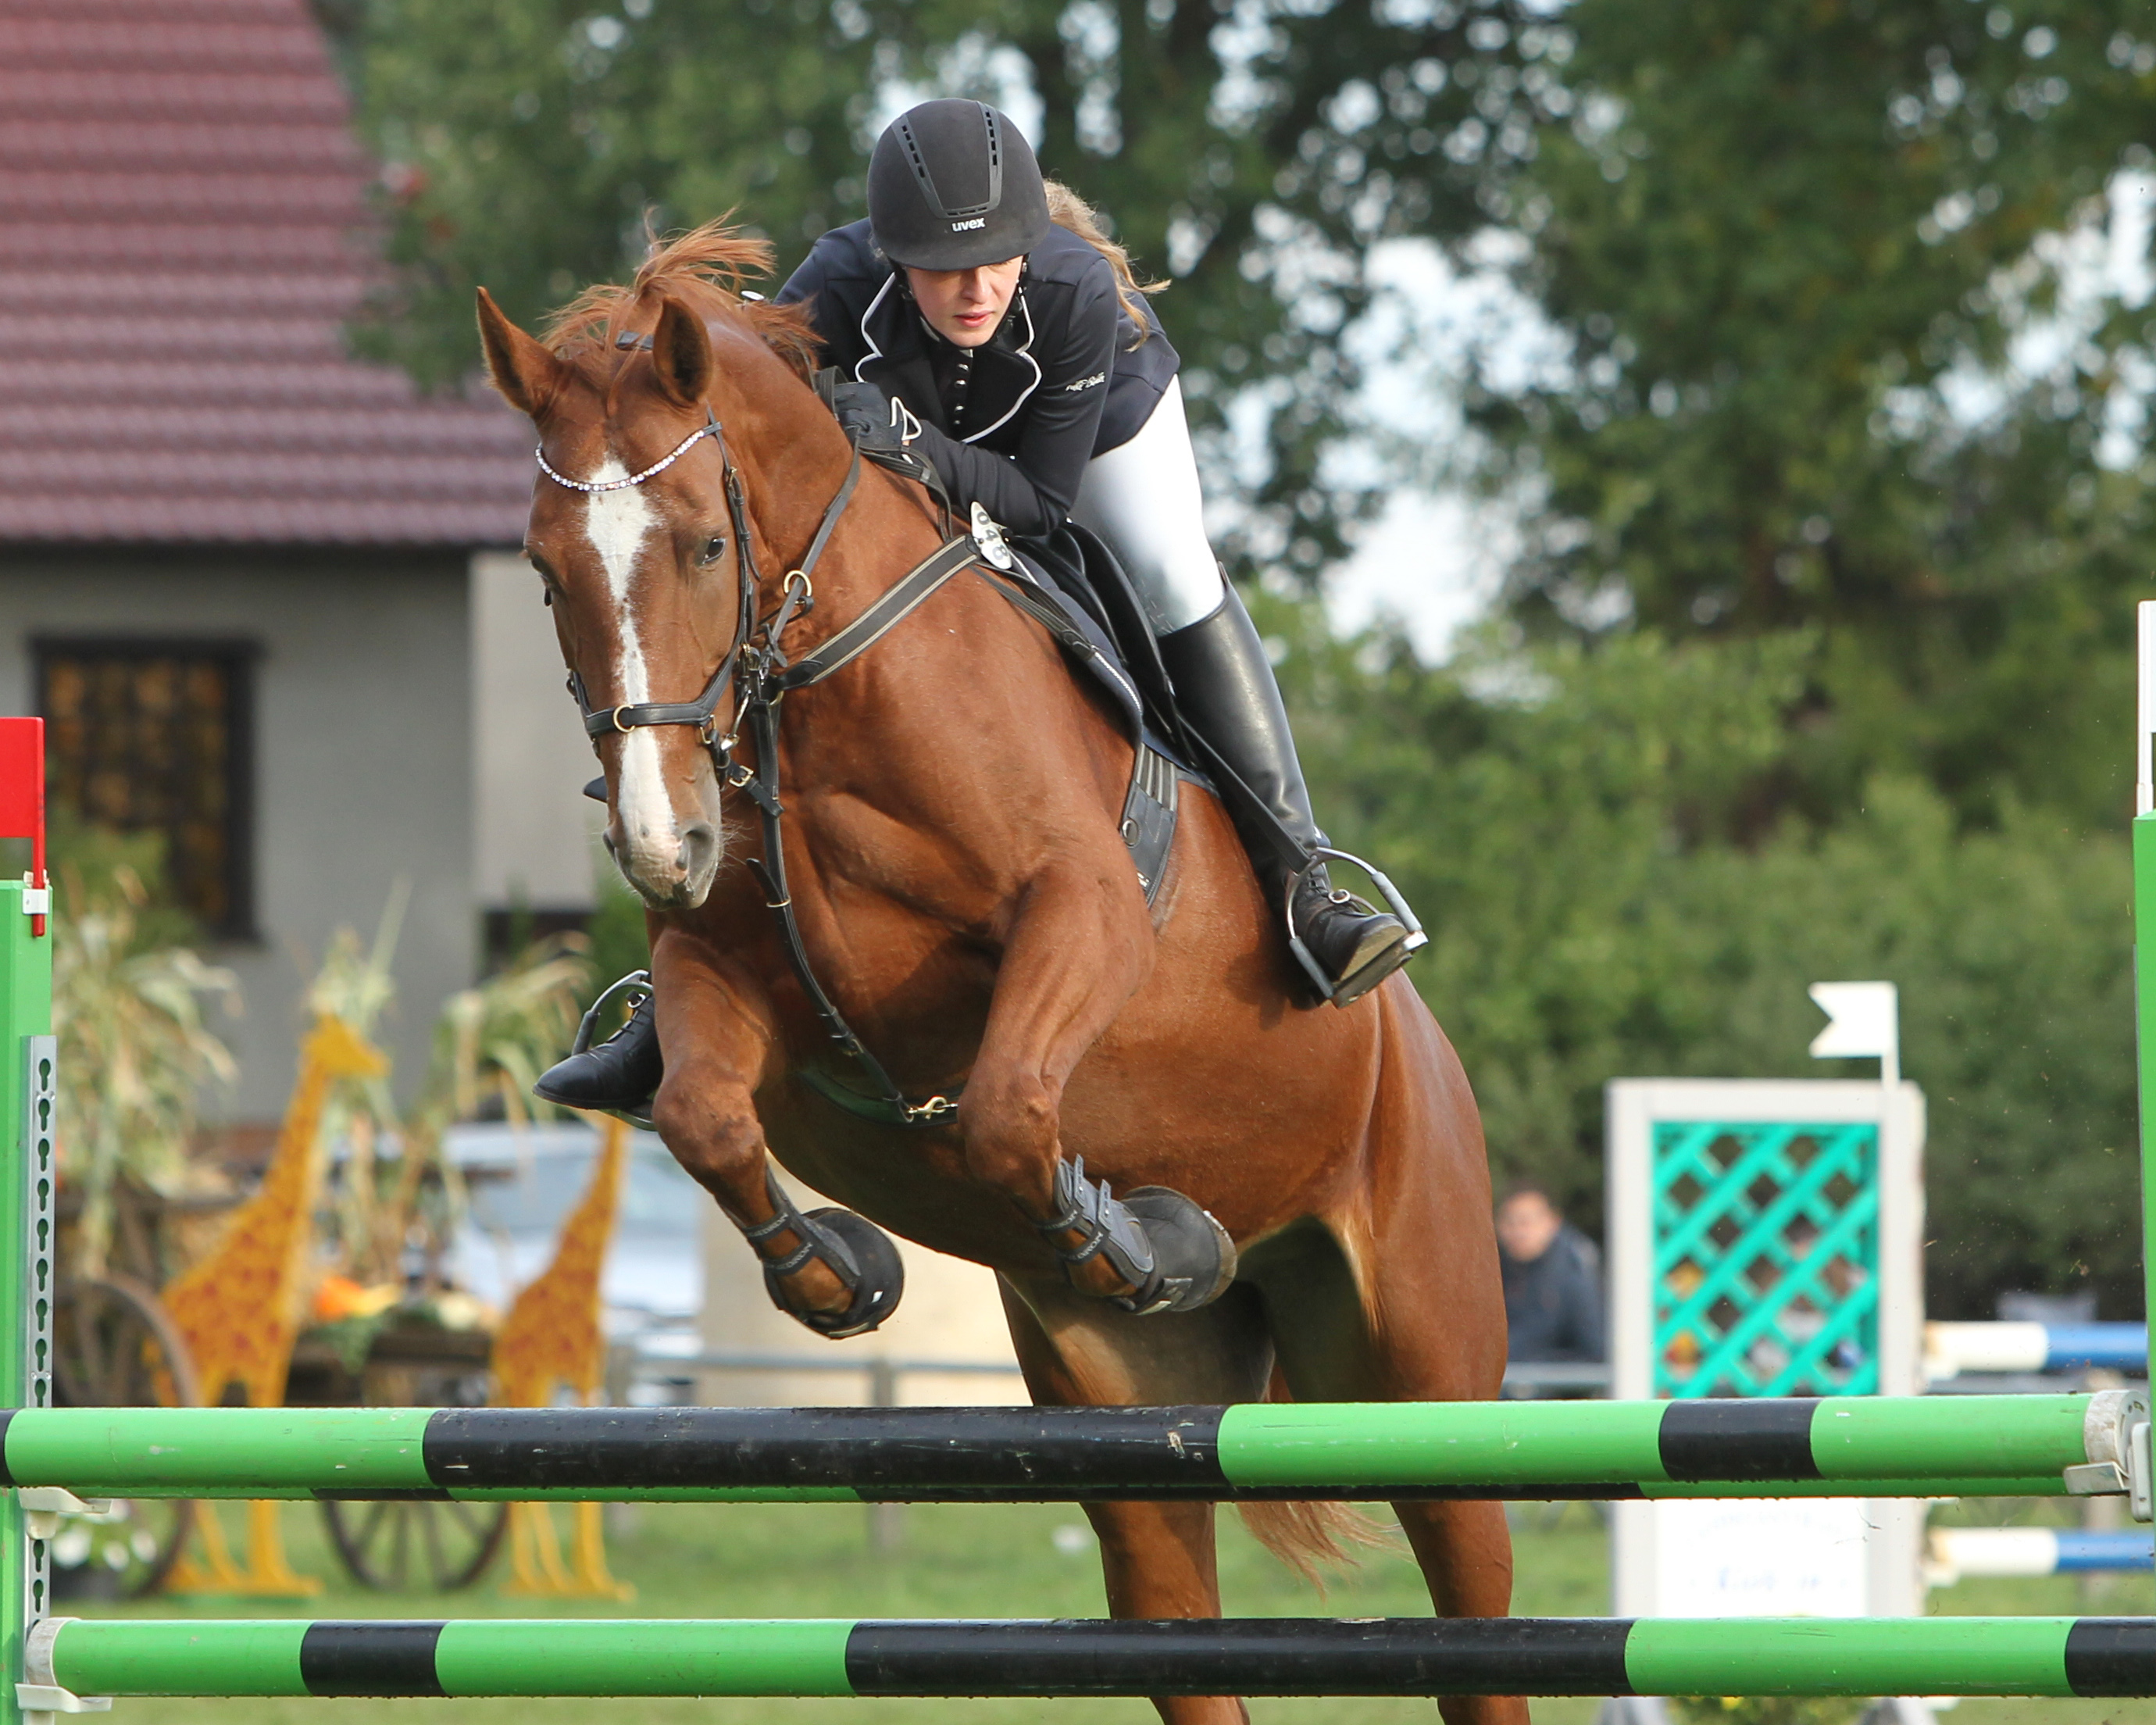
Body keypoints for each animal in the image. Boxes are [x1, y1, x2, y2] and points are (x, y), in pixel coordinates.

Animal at [476, 219, 1518, 1725]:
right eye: (546, 570)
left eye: (707, 544)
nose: (665, 845)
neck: (814, 693)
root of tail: (1427, 1057)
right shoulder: (718, 966)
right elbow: (703, 1115)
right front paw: (844, 1275)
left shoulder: (1082, 918)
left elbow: (1010, 1111)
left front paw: (1149, 1236)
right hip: (1133, 1442)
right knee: (1182, 1620)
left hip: (1434, 1378)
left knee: (1479, 1617)